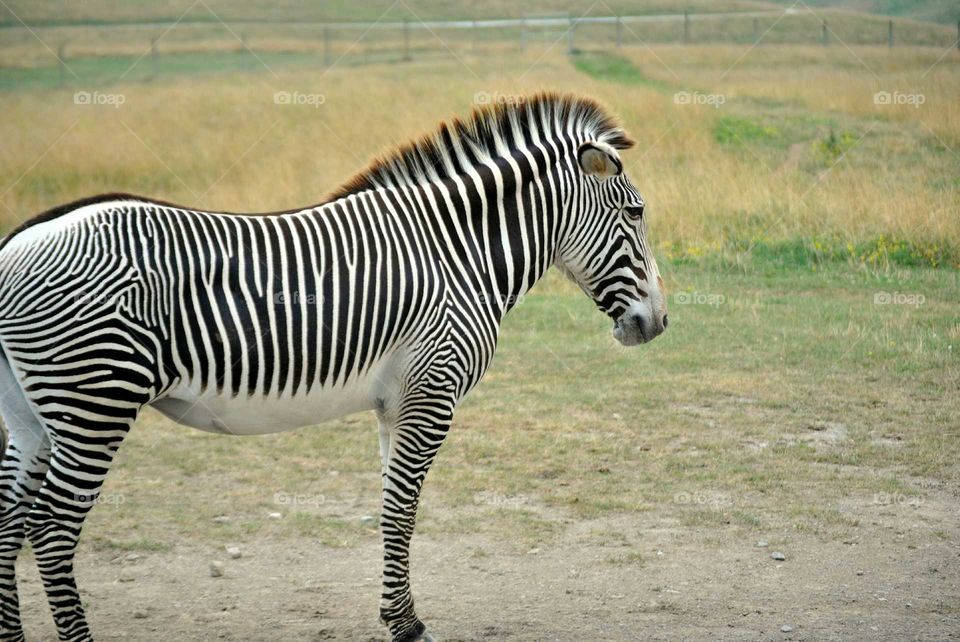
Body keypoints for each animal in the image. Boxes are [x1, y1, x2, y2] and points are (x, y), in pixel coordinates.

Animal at [0, 93, 667, 642]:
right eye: (635, 213)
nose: (657, 323)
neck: (458, 251)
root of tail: (17, 242)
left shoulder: (395, 402)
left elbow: (392, 506)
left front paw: (397, 616)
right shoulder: (432, 389)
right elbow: (402, 509)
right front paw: (407, 626)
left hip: (34, 416)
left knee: (10, 519)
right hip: (96, 401)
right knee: (52, 529)